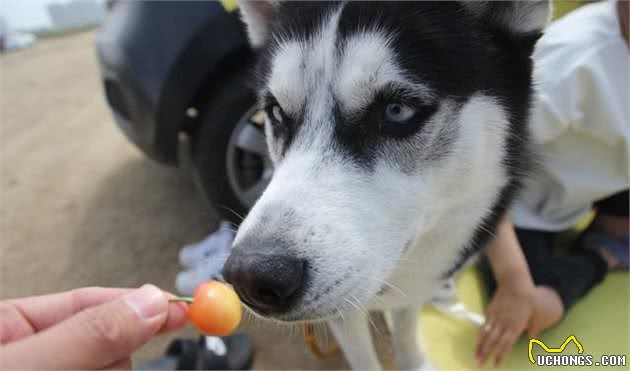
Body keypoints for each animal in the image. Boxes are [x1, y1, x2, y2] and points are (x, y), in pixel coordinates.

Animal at [225, 1, 552, 370]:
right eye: (277, 112)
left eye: (397, 111)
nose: (251, 276)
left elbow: (406, 331)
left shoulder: (409, 292)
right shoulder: (345, 315)